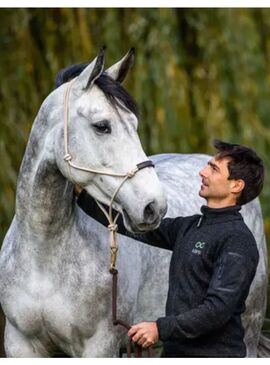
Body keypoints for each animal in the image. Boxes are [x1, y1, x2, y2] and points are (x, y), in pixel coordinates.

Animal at [0, 48, 268, 356]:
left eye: (135, 124)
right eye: (102, 126)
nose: (154, 207)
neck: (43, 257)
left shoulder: (99, 344)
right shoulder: (19, 343)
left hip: (248, 330)